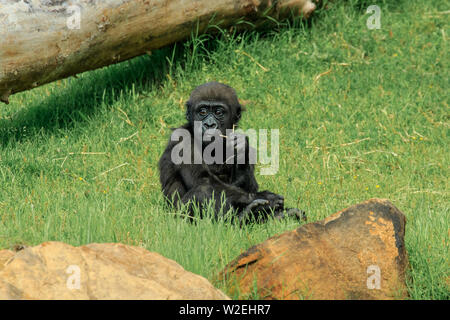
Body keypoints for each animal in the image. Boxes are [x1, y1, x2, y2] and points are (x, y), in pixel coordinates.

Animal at [159, 82, 306, 222]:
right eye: (202, 112)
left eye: (219, 112)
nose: (209, 124)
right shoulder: (181, 140)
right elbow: (204, 180)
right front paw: (261, 196)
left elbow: (246, 184)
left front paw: (241, 148)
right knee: (204, 189)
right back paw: (243, 217)